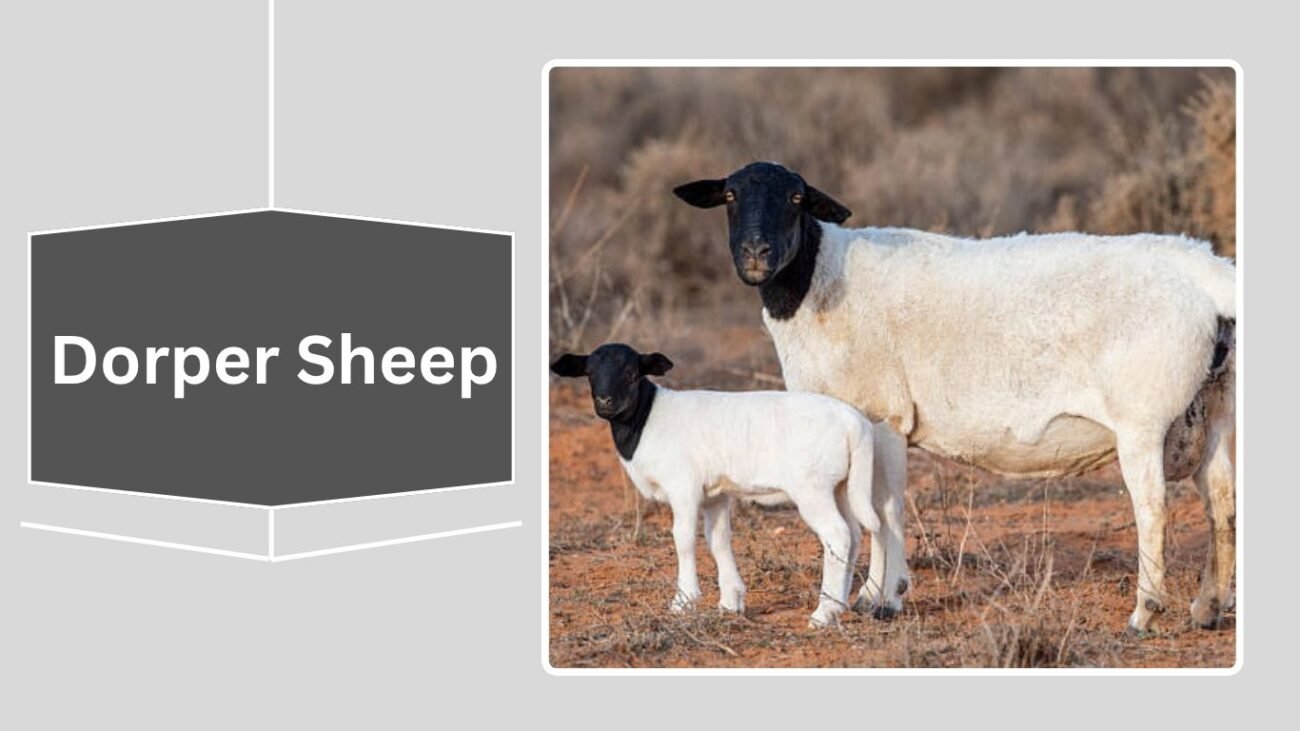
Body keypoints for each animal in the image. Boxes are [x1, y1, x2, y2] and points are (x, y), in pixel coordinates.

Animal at [550, 343, 881, 628]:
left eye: (632, 373)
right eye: (590, 373)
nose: (605, 402)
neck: (645, 420)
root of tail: (855, 424)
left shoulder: (683, 486)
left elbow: (683, 538)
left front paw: (684, 601)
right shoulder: (715, 495)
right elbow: (718, 540)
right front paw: (730, 602)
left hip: (812, 487)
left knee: (837, 534)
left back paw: (824, 614)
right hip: (841, 486)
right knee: (853, 534)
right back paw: (838, 605)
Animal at [674, 161, 1237, 633]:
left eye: (796, 197)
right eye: (730, 195)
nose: (756, 254)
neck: (819, 279)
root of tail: (1207, 272)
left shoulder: (883, 415)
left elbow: (883, 509)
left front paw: (883, 598)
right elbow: (871, 511)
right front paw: (874, 594)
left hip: (1143, 419)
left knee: (1154, 508)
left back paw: (1144, 612)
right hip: (1215, 410)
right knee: (1222, 503)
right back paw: (1208, 607)